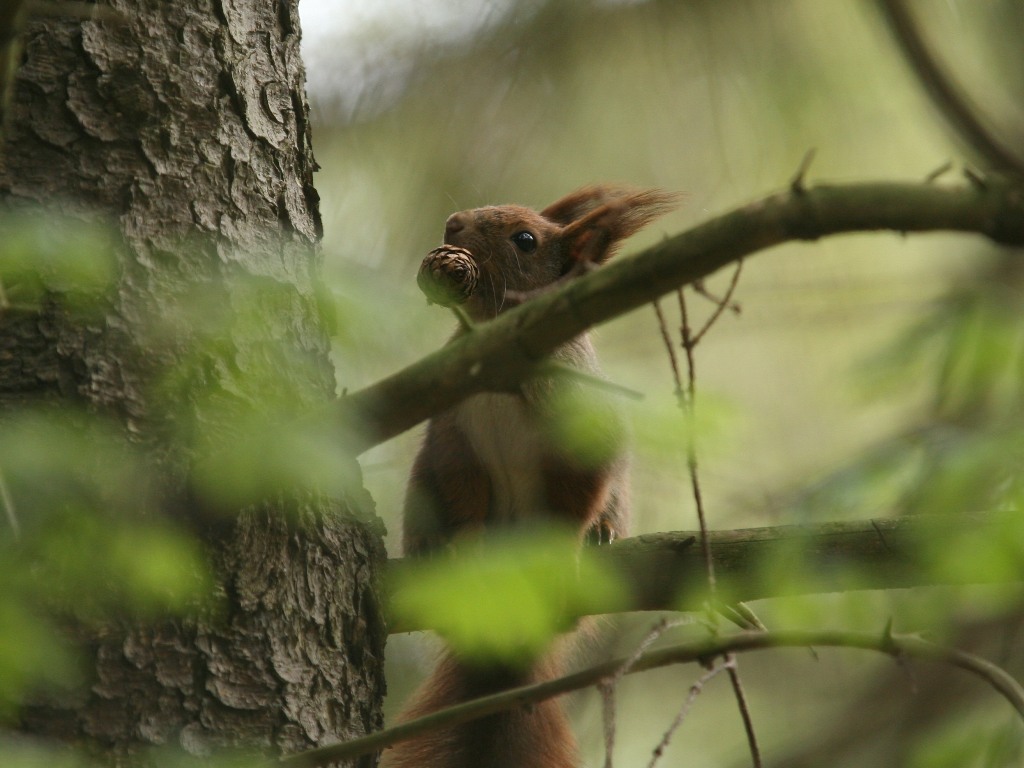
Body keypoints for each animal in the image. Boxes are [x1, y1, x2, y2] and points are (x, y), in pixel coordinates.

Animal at [385, 186, 679, 768]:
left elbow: (577, 492)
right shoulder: (454, 432)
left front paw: (566, 547)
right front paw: (465, 545)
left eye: (526, 240)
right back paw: (429, 549)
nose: (453, 223)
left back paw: (601, 535)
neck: (496, 354)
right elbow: (464, 491)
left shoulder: (581, 426)